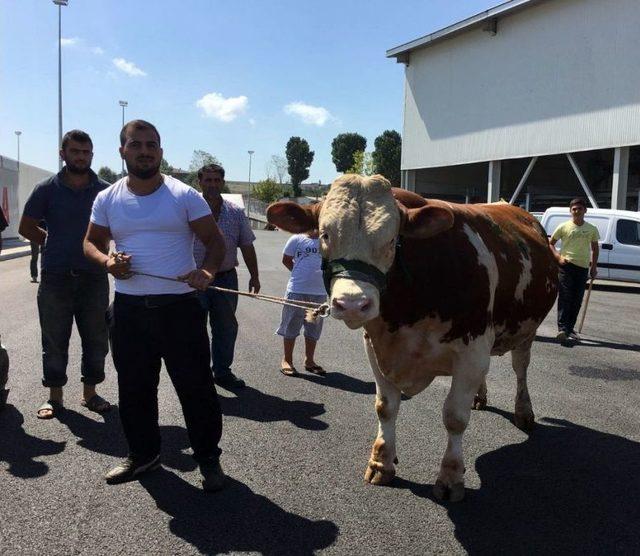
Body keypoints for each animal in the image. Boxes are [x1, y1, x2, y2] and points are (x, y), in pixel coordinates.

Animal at [268, 176, 556, 502]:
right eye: (324, 235)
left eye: (392, 240)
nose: (353, 304)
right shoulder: (377, 347)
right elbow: (385, 406)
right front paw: (381, 462)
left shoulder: (471, 353)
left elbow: (454, 417)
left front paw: (451, 477)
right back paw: (480, 397)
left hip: (526, 333)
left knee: (521, 369)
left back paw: (524, 411)